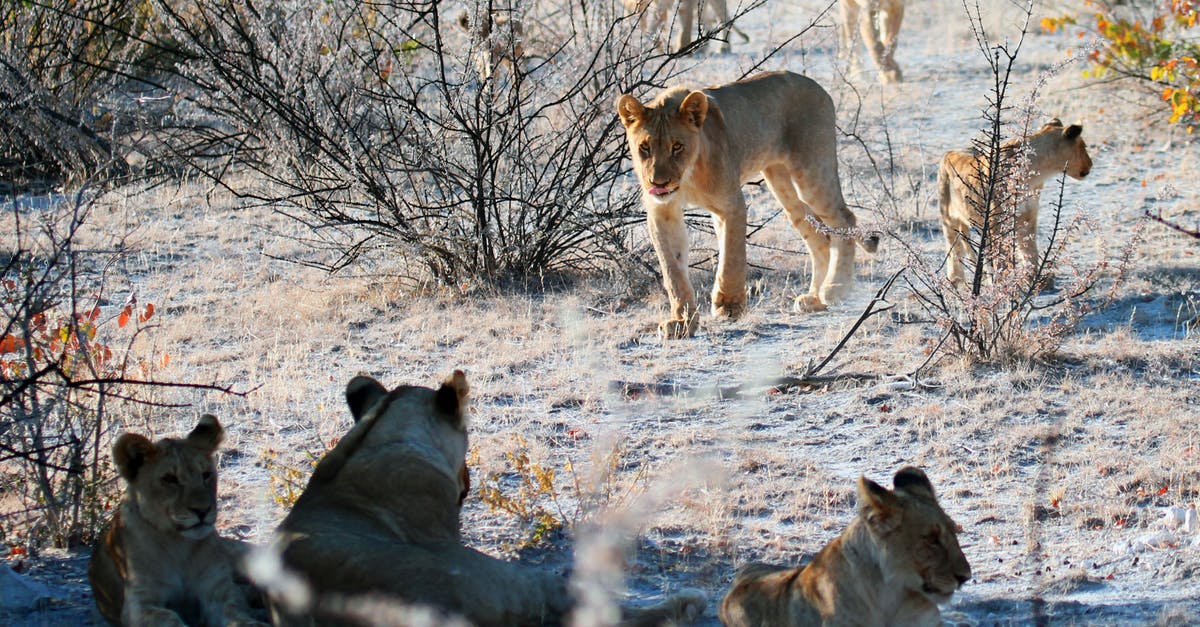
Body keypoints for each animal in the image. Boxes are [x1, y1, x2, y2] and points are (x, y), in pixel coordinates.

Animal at [87, 415, 266, 624]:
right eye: (170, 479)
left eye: (206, 475)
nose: (203, 510)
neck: (179, 545)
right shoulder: (138, 603)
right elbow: (167, 617)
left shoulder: (218, 591)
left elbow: (236, 614)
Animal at [614, 70, 878, 336]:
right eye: (645, 147)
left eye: (677, 146)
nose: (658, 182)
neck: (687, 176)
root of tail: (816, 85)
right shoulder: (662, 212)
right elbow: (673, 272)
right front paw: (682, 322)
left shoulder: (732, 204)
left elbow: (731, 258)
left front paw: (728, 306)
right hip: (781, 184)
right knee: (818, 237)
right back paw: (813, 299)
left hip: (812, 174)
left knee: (843, 217)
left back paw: (836, 287)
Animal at [936, 118, 1099, 287]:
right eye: (1084, 146)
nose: (1091, 164)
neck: (1036, 173)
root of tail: (949, 153)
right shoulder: (997, 221)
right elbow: (1001, 254)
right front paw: (1003, 282)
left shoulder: (1027, 215)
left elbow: (1030, 250)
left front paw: (1034, 279)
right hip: (948, 217)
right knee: (953, 248)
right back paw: (956, 279)